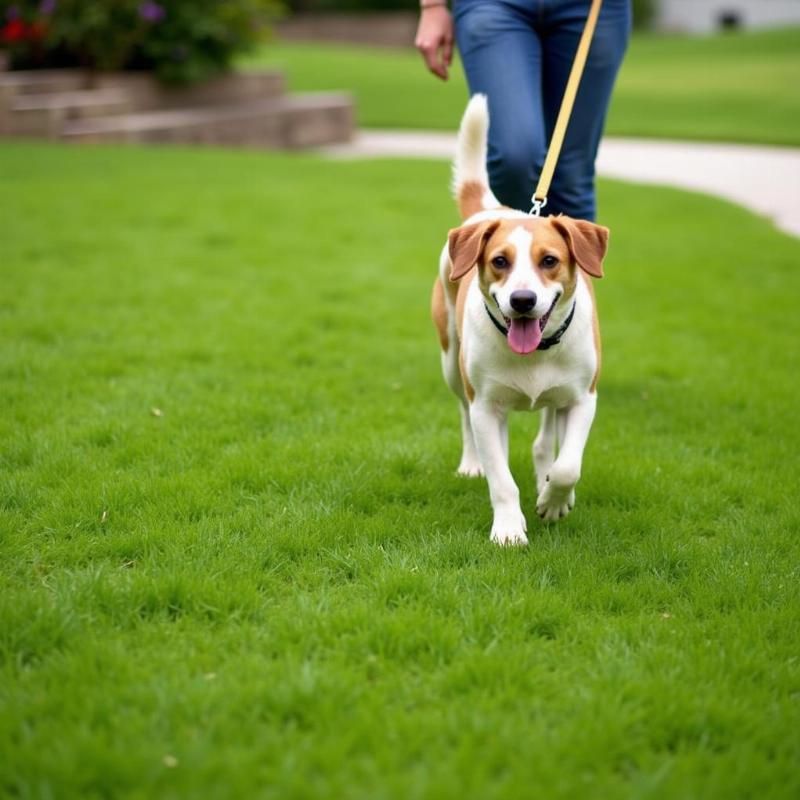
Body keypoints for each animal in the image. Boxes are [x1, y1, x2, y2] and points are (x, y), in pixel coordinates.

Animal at [432, 92, 608, 544]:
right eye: (499, 262)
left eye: (549, 261)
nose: (523, 300)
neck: (536, 352)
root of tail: (492, 209)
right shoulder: (486, 405)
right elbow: (501, 478)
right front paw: (509, 528)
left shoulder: (584, 398)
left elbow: (569, 465)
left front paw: (554, 499)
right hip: (452, 363)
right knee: (467, 416)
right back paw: (473, 462)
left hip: (556, 395)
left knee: (546, 436)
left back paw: (545, 472)